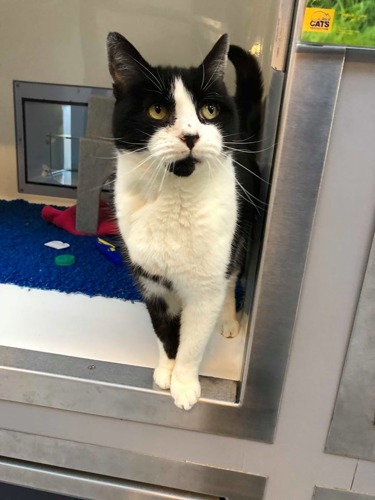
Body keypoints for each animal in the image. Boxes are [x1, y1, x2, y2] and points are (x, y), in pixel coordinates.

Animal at [107, 33, 262, 412]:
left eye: (209, 111)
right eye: (157, 110)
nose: (191, 136)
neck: (175, 198)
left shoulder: (205, 285)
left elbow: (192, 339)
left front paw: (185, 383)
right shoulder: (151, 281)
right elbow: (164, 330)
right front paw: (167, 369)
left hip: (240, 234)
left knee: (231, 278)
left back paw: (228, 319)